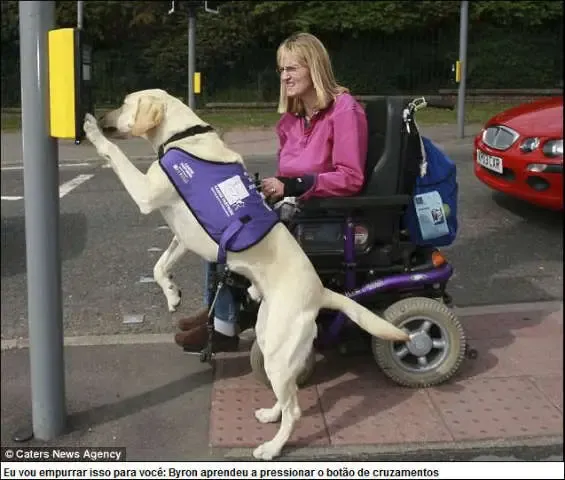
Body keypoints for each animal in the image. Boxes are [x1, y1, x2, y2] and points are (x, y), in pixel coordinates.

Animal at [83, 89, 408, 462]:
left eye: (125, 103)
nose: (103, 117)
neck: (183, 136)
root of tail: (321, 292)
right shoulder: (182, 236)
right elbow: (159, 266)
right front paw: (172, 294)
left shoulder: (146, 193)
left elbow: (114, 153)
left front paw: (91, 130)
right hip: (271, 341)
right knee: (287, 393)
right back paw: (270, 414)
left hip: (279, 349)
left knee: (295, 409)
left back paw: (272, 447)